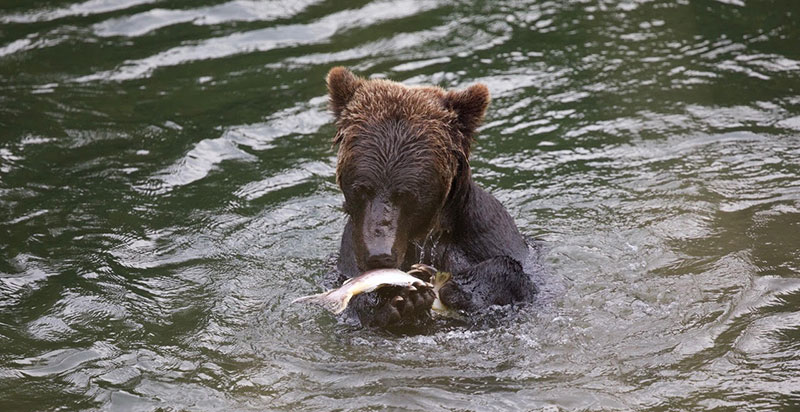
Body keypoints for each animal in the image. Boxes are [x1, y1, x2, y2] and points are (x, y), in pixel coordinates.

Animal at [324, 68, 536, 332]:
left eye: (407, 194)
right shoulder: (349, 256)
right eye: (362, 190)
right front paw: (400, 301)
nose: (379, 255)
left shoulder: (487, 238)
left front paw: (459, 288)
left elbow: (513, 271)